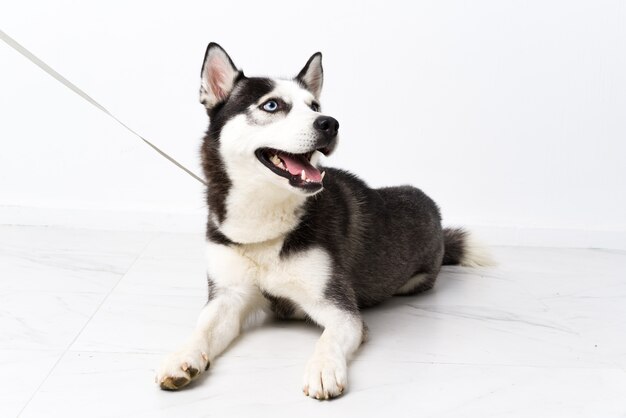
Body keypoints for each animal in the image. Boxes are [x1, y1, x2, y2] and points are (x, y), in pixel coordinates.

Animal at [155, 44, 488, 400]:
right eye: (272, 105)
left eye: (314, 106)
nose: (330, 123)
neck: (263, 222)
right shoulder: (227, 297)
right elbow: (202, 328)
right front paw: (181, 356)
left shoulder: (338, 307)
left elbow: (329, 337)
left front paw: (323, 369)